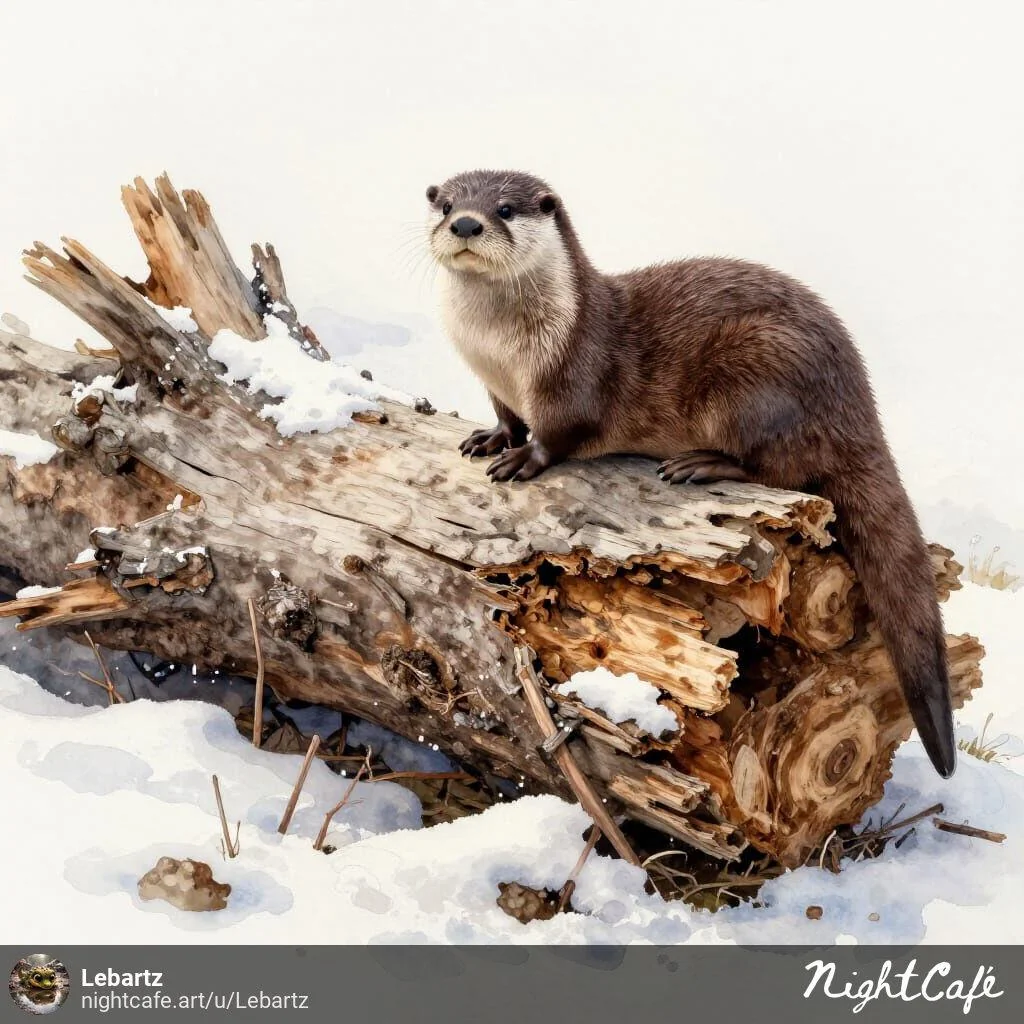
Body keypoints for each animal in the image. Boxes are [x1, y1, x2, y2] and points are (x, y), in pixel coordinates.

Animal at [424, 168, 956, 780]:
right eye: (445, 204)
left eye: (506, 209)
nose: (467, 223)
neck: (502, 355)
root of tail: (859, 402)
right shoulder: (496, 386)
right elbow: (508, 418)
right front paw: (492, 437)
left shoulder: (573, 375)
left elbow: (561, 434)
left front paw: (524, 459)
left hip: (759, 370)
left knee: (782, 467)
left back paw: (701, 464)